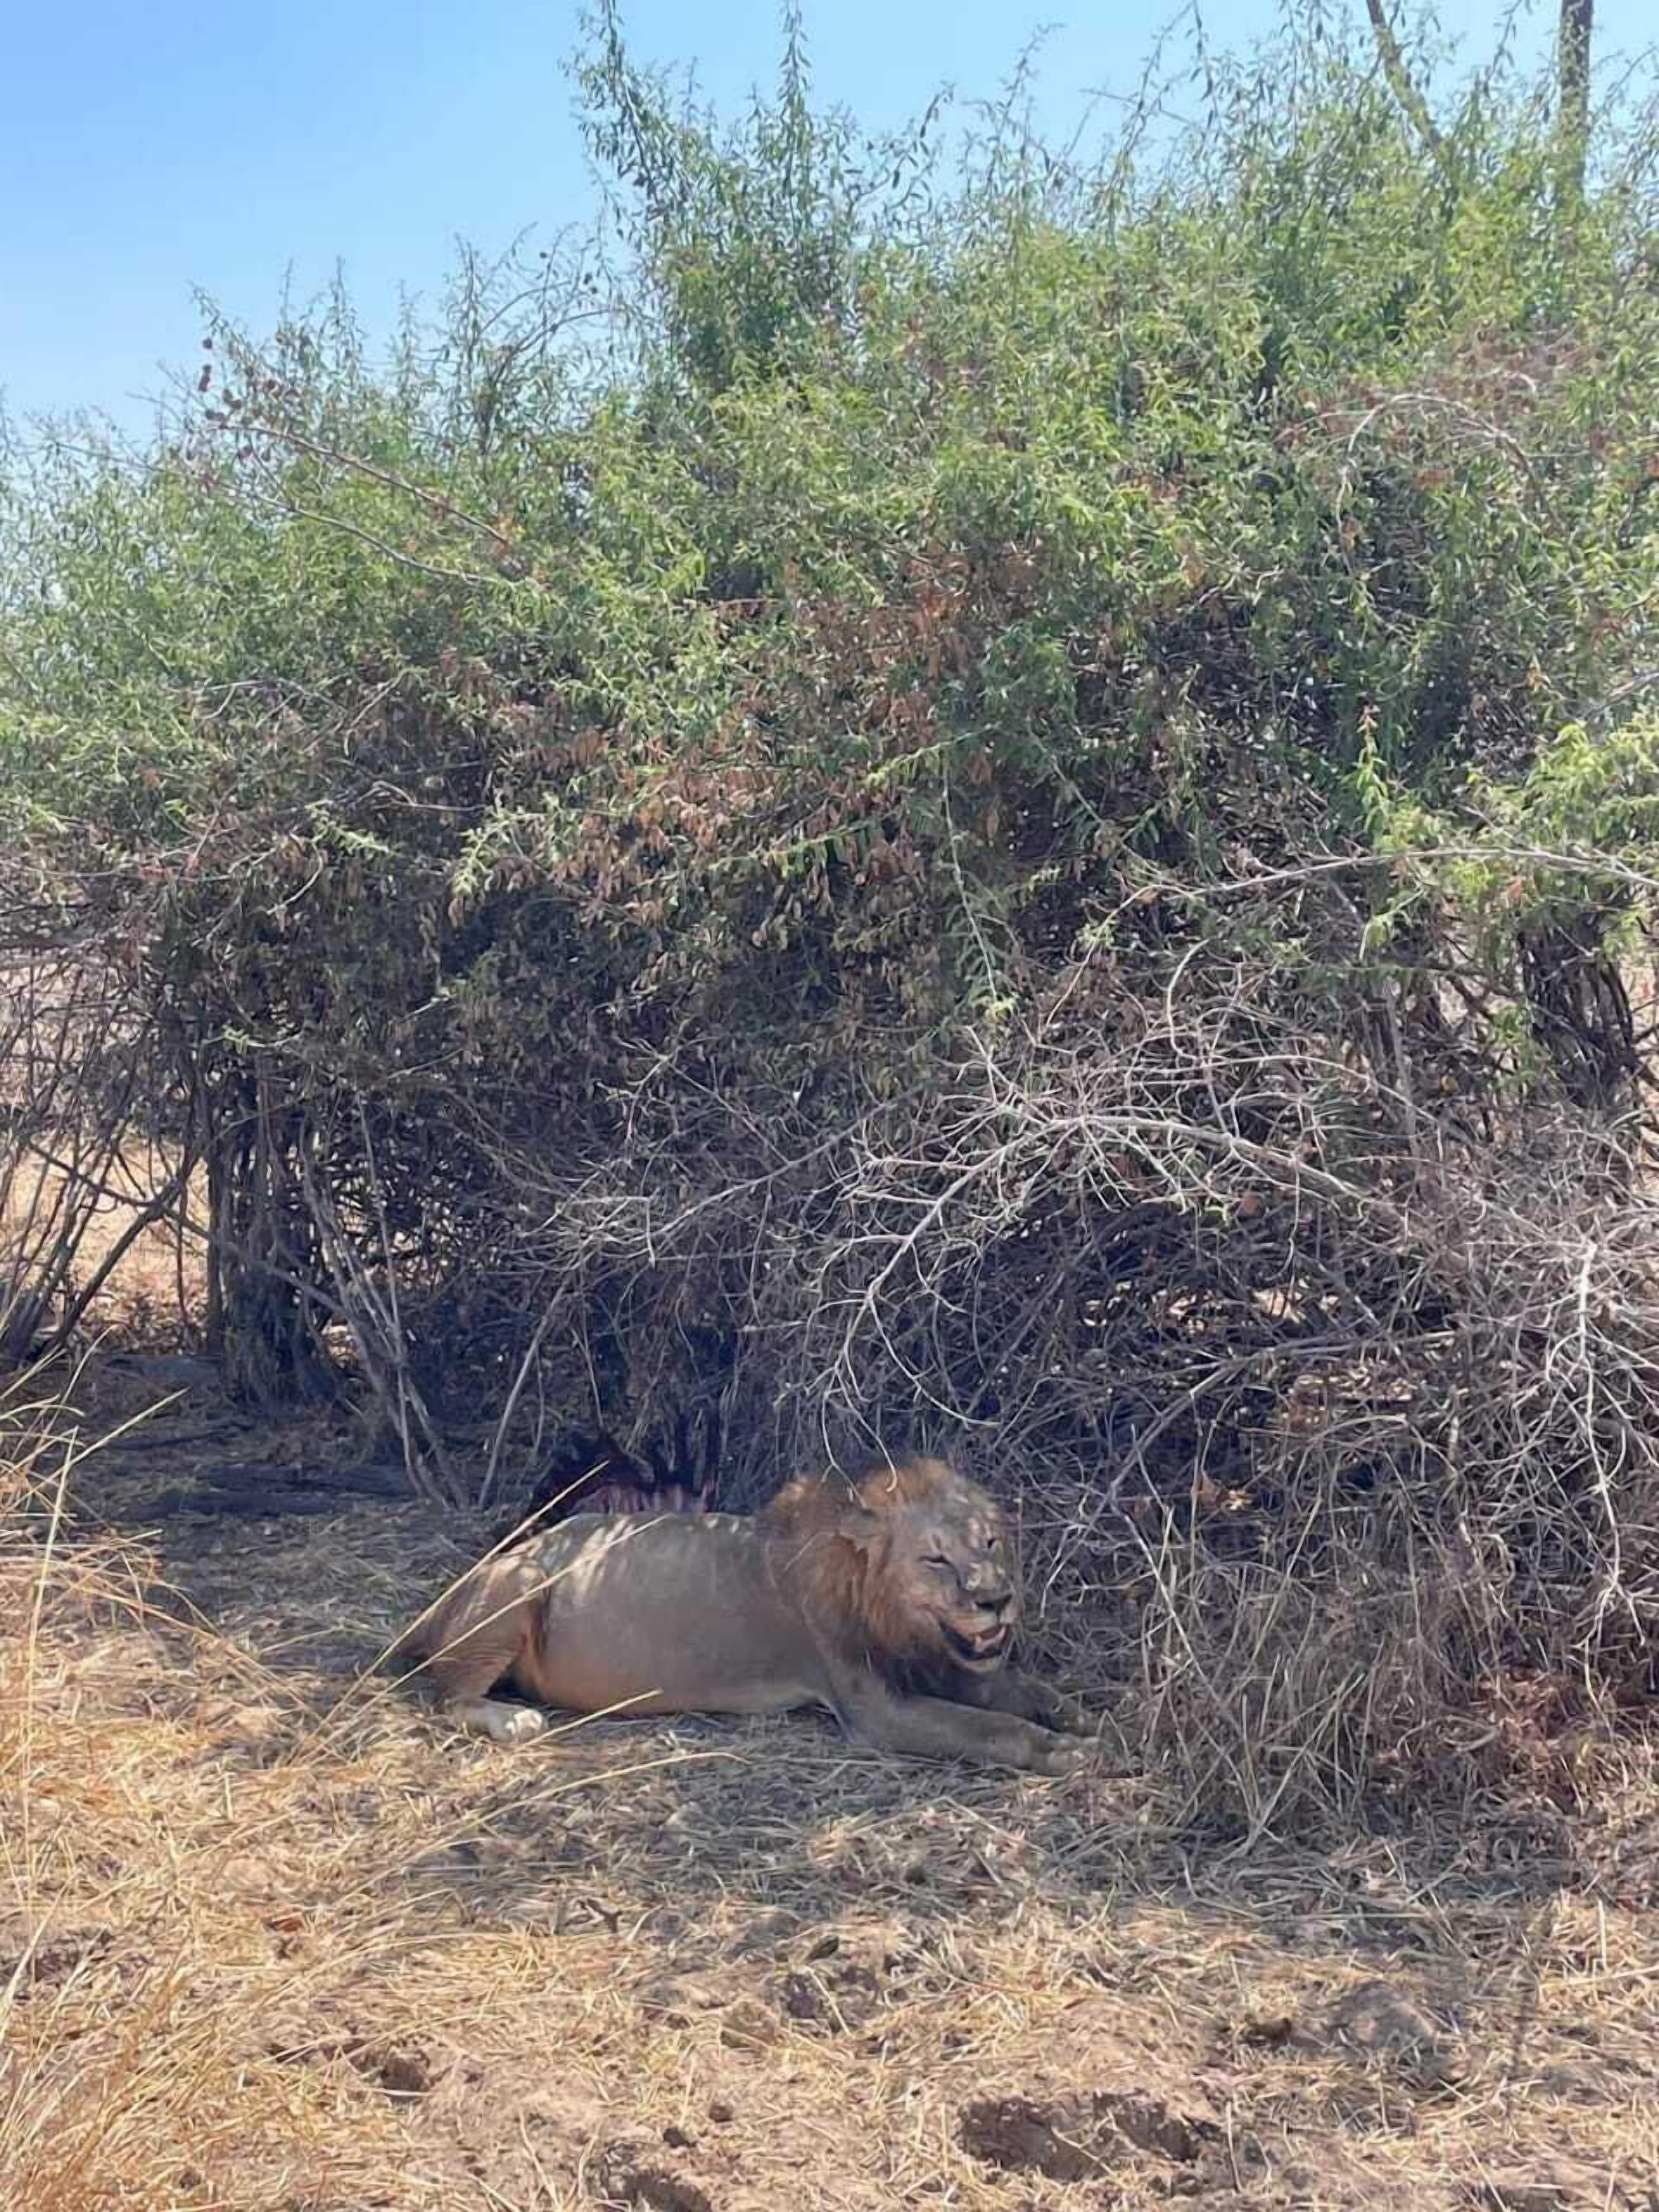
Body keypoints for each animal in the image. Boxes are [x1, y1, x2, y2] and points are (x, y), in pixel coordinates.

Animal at [391, 1452, 1092, 1774]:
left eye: (990, 1542)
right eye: (936, 1560)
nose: (996, 1598)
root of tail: (438, 1603)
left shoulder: (944, 1664)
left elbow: (1018, 1689)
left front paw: (1074, 1713)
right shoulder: (876, 1709)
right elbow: (988, 1728)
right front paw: (1065, 1751)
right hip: (526, 1580)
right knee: (448, 1698)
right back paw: (514, 1720)